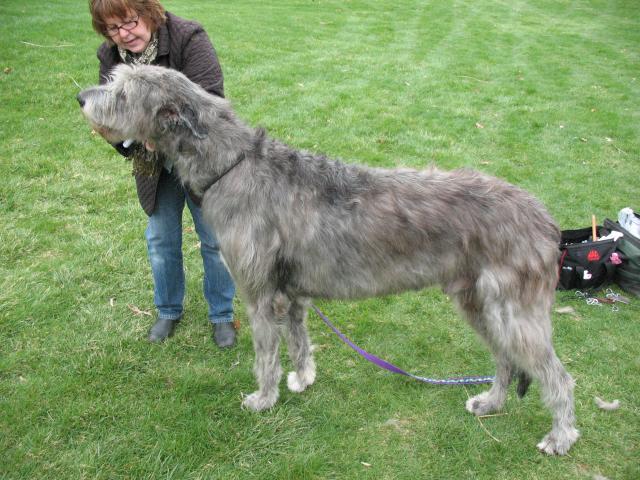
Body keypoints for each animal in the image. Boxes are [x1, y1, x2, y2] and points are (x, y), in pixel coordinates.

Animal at [79, 63, 580, 454]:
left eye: (122, 91)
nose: (81, 97)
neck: (233, 164)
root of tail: (546, 220)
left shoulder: (259, 295)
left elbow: (265, 354)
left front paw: (263, 399)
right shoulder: (292, 294)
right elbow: (299, 340)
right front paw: (302, 380)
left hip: (515, 310)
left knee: (556, 375)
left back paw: (560, 437)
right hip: (477, 302)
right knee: (505, 360)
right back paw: (491, 403)